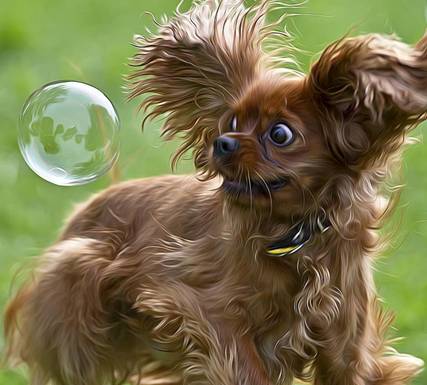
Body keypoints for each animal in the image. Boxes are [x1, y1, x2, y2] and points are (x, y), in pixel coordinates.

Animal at [4, 0, 427, 384]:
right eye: (232, 122)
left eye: (280, 134)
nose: (222, 142)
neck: (292, 234)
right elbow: (244, 367)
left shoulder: (345, 345)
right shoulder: (202, 308)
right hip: (79, 293)